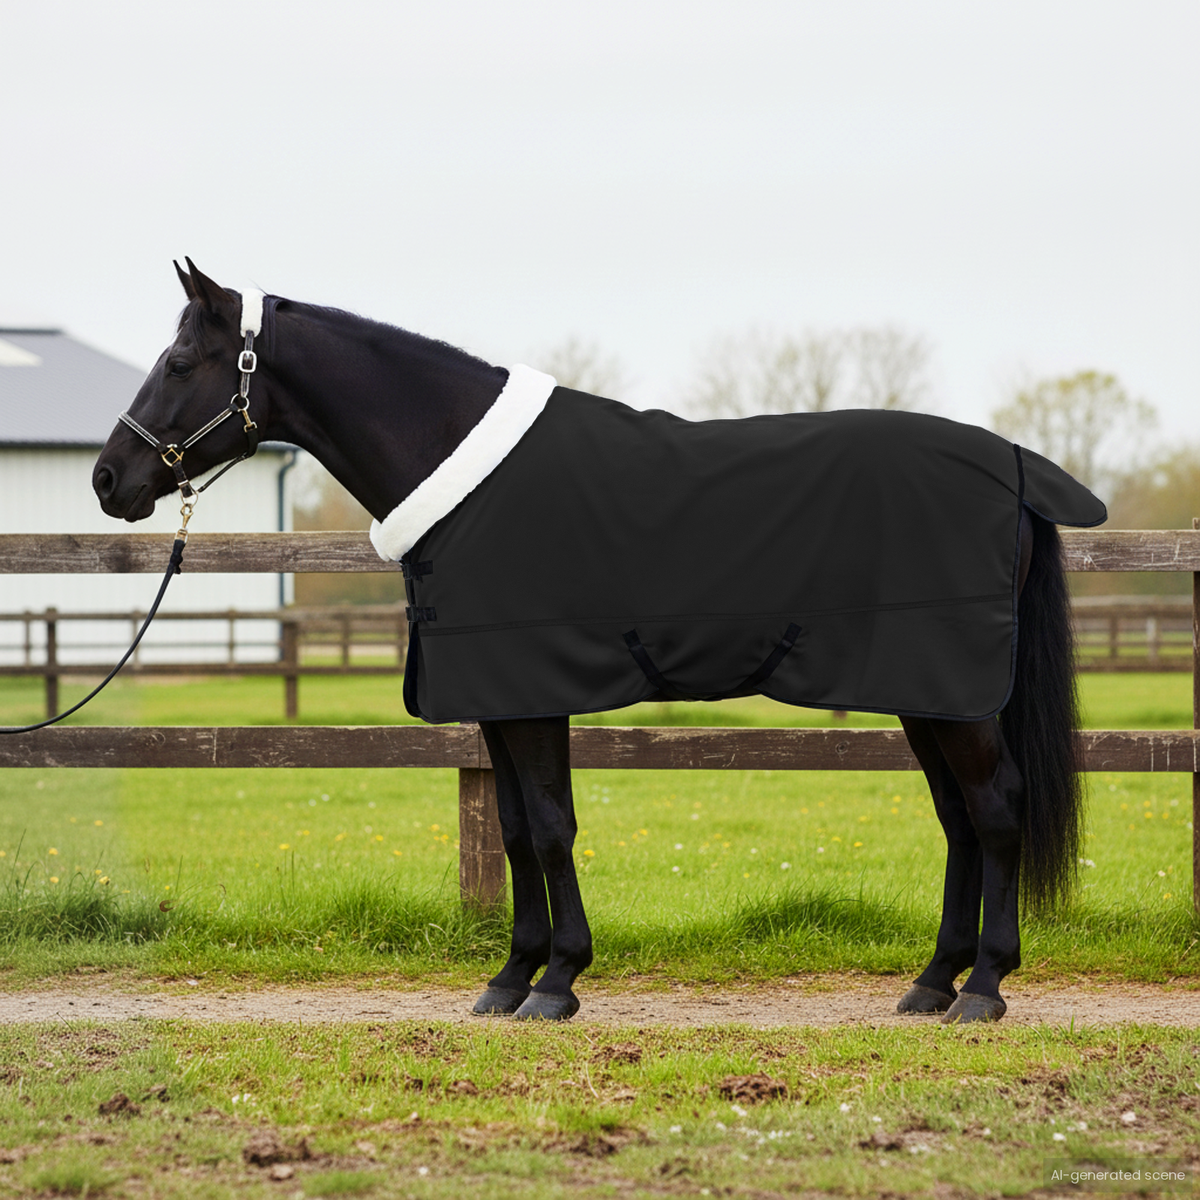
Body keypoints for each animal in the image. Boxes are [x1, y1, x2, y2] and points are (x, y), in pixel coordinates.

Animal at [93, 260, 1099, 1024]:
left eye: (179, 361)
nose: (109, 478)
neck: (462, 471)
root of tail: (1013, 467)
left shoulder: (532, 693)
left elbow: (548, 828)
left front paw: (559, 981)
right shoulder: (496, 700)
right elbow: (512, 832)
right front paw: (511, 978)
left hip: (956, 695)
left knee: (996, 808)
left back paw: (985, 988)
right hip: (926, 692)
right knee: (959, 818)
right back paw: (933, 983)